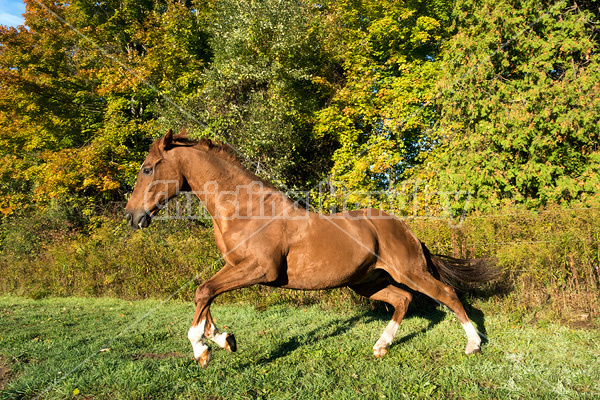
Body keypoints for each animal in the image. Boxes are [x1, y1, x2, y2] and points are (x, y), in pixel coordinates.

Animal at [124, 130, 494, 368]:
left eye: (147, 169)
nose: (132, 216)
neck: (246, 209)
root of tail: (405, 228)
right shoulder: (233, 267)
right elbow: (205, 296)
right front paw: (221, 339)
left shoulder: (261, 269)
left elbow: (203, 293)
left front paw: (202, 349)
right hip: (367, 281)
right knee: (402, 300)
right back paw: (380, 347)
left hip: (409, 271)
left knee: (446, 294)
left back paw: (473, 345)